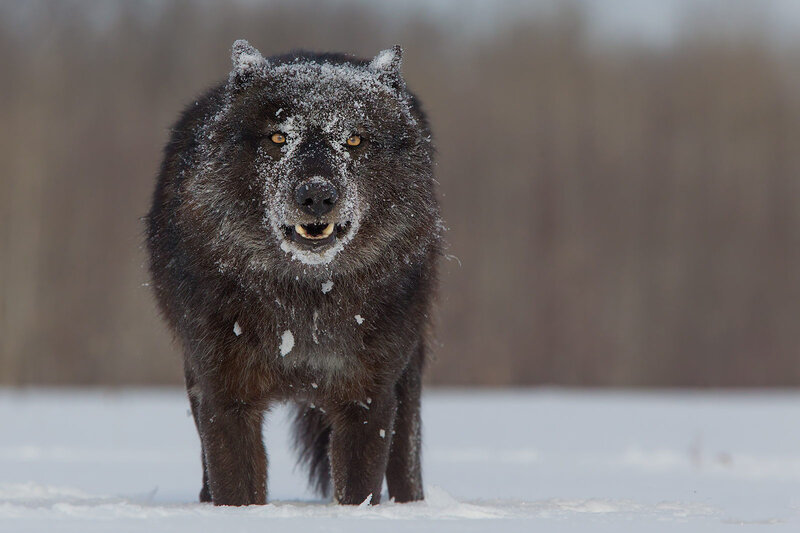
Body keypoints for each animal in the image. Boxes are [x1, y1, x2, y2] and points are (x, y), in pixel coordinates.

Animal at [146, 40, 441, 506]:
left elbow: (359, 490)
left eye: (353, 139)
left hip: (407, 376)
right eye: (279, 137)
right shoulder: (225, 397)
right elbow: (236, 488)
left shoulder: (367, 398)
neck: (306, 299)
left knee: (407, 463)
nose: (316, 194)